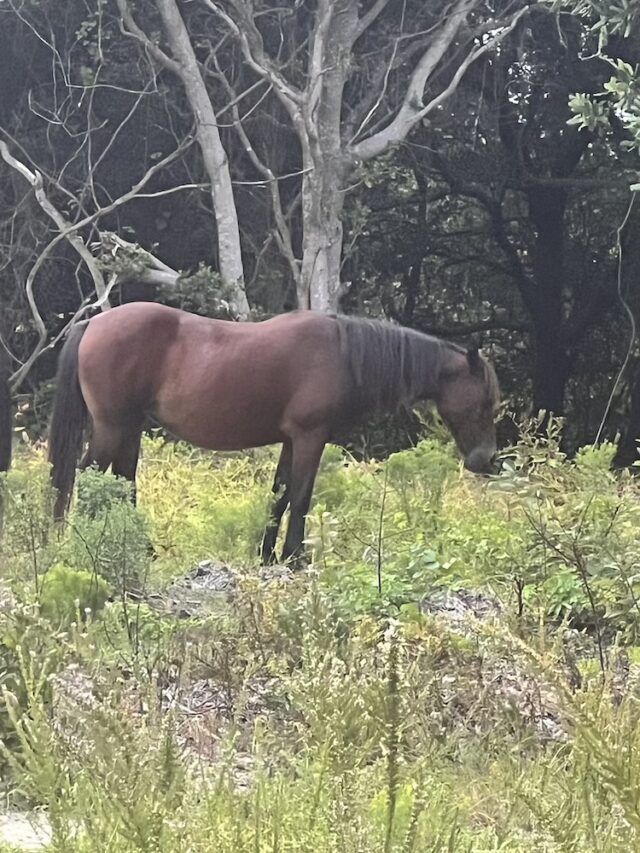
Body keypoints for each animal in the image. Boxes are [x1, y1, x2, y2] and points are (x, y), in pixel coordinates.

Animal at [50, 302, 500, 564]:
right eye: (483, 403)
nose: (487, 460)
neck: (342, 353)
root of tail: (94, 322)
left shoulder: (289, 440)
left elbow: (278, 495)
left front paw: (267, 556)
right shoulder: (310, 436)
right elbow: (300, 497)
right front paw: (295, 558)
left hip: (129, 428)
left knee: (121, 481)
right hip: (113, 427)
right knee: (87, 478)